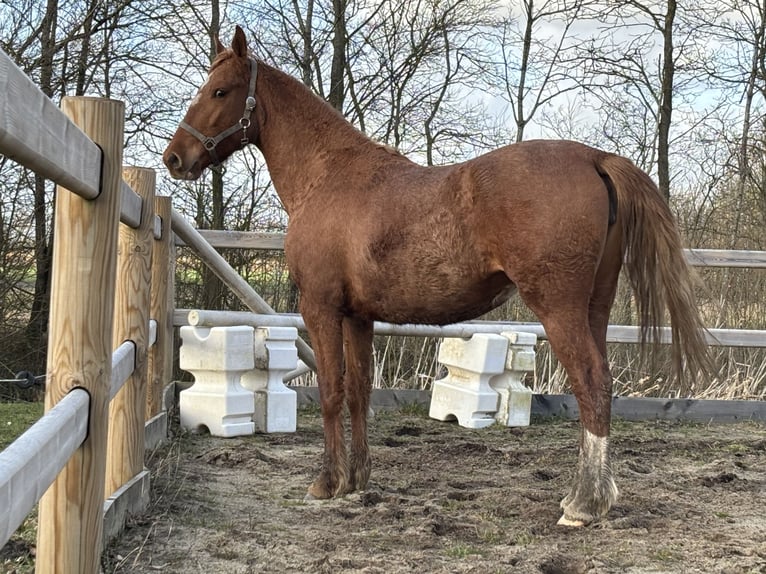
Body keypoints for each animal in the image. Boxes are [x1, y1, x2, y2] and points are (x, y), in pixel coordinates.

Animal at [163, 25, 710, 526]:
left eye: (220, 91)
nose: (174, 157)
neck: (328, 176)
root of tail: (596, 157)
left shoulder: (320, 308)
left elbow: (332, 392)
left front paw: (328, 482)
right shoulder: (358, 317)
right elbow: (359, 391)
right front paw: (358, 480)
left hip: (559, 309)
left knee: (592, 384)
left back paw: (583, 505)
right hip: (594, 307)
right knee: (602, 385)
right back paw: (590, 494)